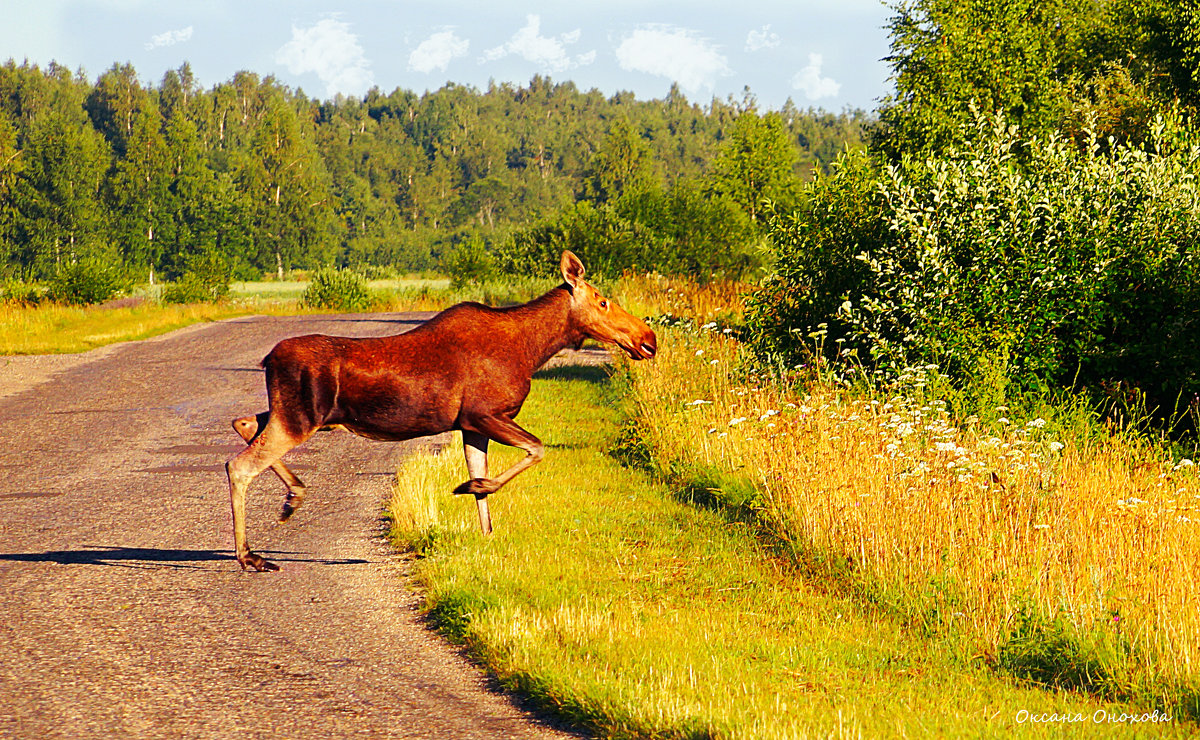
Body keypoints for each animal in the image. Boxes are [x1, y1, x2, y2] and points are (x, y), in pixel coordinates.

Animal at [225, 250, 657, 568]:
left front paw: (483, 525)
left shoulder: (471, 425)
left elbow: (485, 485)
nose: (648, 339)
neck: (533, 349)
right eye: (603, 300)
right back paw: (249, 555)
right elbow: (536, 449)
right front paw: (468, 487)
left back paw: (293, 496)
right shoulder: (485, 414)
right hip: (301, 417)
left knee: (243, 422)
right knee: (239, 465)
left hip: (293, 414)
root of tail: (267, 359)